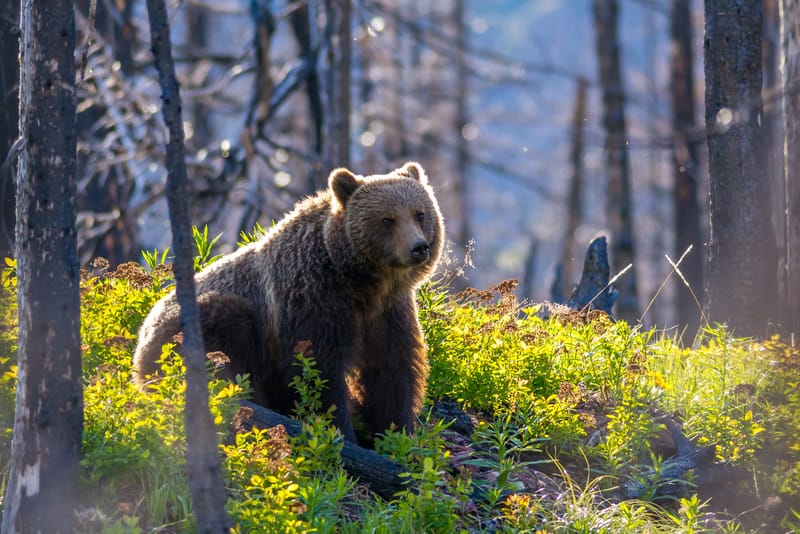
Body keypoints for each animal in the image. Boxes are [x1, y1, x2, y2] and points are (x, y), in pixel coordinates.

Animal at [133, 161, 444, 443]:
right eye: (387, 220)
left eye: (420, 214)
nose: (418, 247)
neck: (361, 282)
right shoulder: (312, 297)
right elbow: (317, 369)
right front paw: (341, 431)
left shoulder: (387, 311)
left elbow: (391, 369)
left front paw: (396, 433)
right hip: (190, 329)